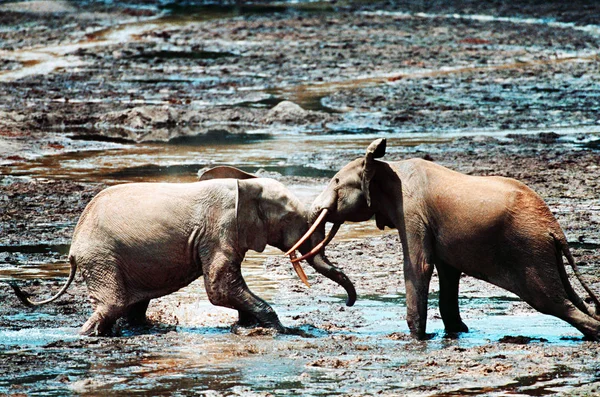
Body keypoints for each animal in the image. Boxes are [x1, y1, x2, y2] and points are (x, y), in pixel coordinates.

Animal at [10, 166, 356, 336]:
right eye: (291, 220)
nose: (350, 304)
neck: (246, 186)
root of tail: (73, 247)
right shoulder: (219, 229)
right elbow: (219, 288)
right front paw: (282, 330)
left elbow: (225, 288)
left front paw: (247, 326)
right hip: (101, 257)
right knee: (113, 303)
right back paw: (87, 336)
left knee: (132, 304)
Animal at [288, 138, 596, 338]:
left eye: (336, 182)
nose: (348, 303)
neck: (388, 165)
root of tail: (555, 230)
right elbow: (447, 271)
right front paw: (456, 332)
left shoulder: (412, 211)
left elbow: (418, 267)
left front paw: (417, 338)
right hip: (546, 256)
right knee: (572, 300)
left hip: (530, 251)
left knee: (551, 302)